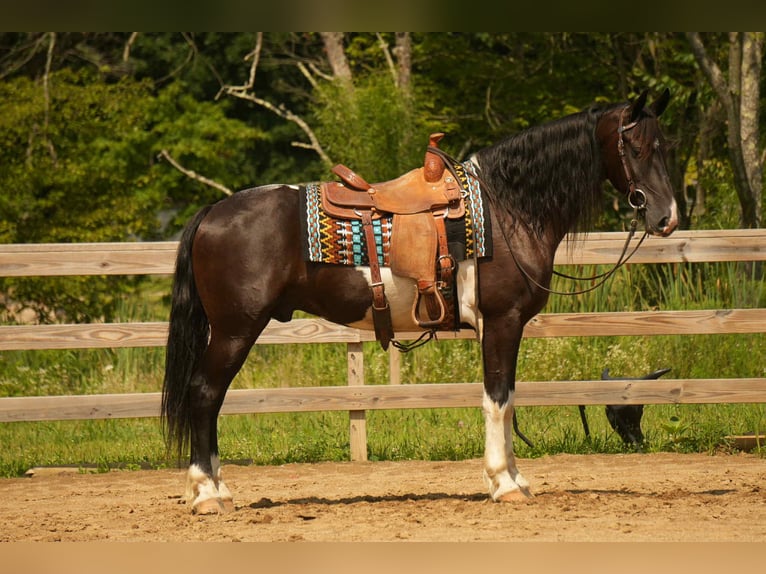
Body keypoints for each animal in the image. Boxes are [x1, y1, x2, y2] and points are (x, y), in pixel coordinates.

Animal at [162, 89, 678, 514]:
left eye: (664, 147)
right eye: (635, 148)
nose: (667, 217)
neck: (507, 208)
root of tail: (214, 211)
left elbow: (508, 399)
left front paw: (514, 479)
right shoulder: (503, 321)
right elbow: (498, 400)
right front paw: (504, 483)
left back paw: (216, 489)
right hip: (235, 330)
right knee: (204, 395)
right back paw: (207, 494)